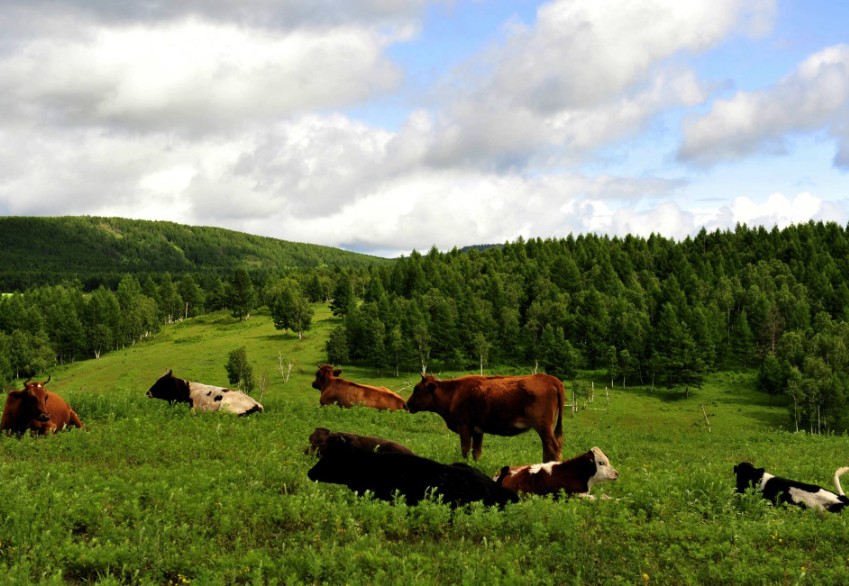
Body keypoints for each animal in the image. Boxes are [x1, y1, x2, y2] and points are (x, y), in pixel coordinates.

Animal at [406, 374, 564, 460]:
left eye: (417, 389)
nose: (407, 404)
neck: (454, 393)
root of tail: (550, 379)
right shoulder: (478, 431)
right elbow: (476, 452)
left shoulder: (464, 426)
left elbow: (465, 450)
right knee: (548, 447)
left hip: (543, 426)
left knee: (553, 447)